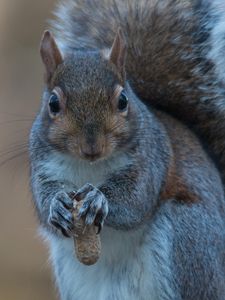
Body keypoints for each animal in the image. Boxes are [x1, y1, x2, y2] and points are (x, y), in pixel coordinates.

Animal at [28, 0, 225, 300]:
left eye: (123, 100)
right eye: (53, 103)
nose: (92, 147)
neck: (90, 167)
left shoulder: (150, 160)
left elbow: (136, 200)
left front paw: (99, 199)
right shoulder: (43, 164)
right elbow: (43, 201)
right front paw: (57, 205)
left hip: (188, 239)